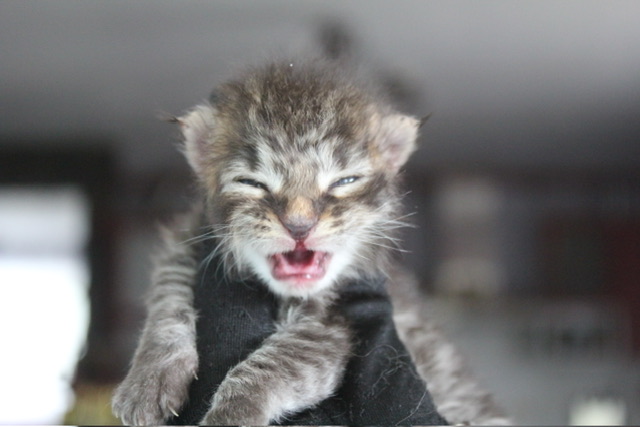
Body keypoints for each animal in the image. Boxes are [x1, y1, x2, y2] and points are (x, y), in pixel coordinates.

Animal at [112, 60, 509, 425]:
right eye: (252, 183)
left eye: (345, 181)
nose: (299, 225)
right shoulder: (187, 234)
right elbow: (167, 292)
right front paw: (149, 377)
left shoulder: (331, 326)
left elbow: (268, 367)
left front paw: (230, 415)